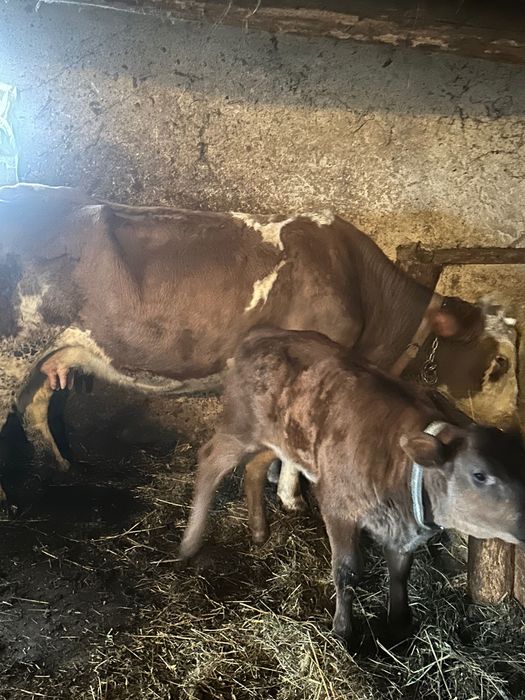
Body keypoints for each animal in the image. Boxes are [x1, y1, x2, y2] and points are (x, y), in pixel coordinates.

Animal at [0, 183, 518, 507]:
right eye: (499, 364)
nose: (513, 427)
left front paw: (273, 480)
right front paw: (290, 497)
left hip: (46, 353)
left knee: (35, 406)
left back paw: (63, 466)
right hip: (13, 350)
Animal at [179, 326, 525, 645]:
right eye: (479, 475)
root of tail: (262, 333)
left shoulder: (402, 532)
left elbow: (400, 574)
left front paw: (399, 626)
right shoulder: (339, 508)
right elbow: (347, 571)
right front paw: (343, 632)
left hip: (280, 439)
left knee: (254, 469)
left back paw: (259, 531)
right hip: (240, 426)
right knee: (209, 462)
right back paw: (190, 543)